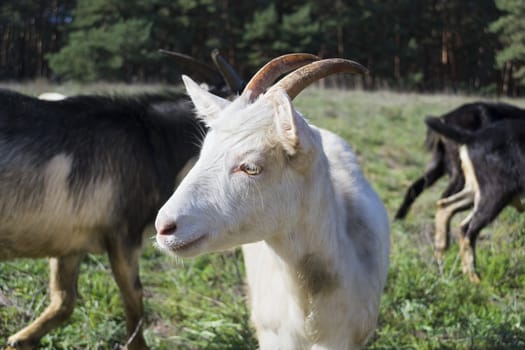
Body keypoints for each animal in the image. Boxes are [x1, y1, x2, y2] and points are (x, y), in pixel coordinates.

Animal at [426, 116, 524, 284]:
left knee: (445, 206)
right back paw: (474, 279)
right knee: (467, 229)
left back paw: (441, 257)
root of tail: (473, 138)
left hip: (474, 190)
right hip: (496, 193)